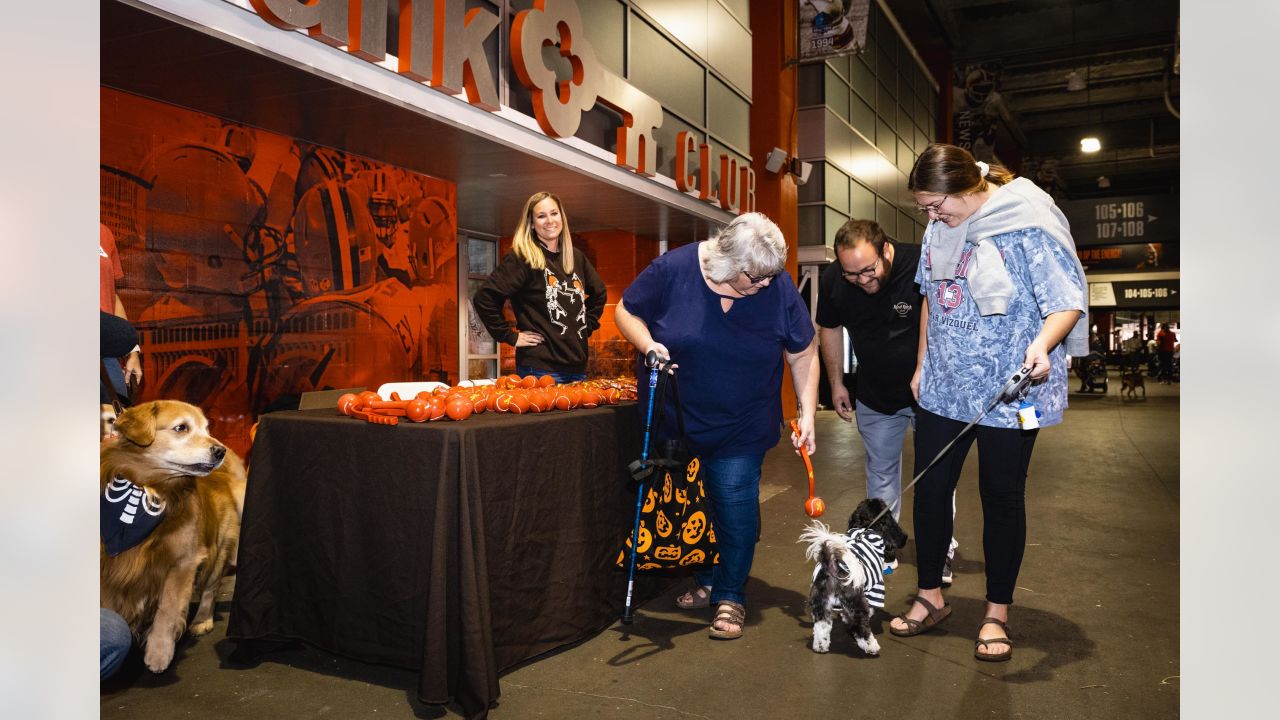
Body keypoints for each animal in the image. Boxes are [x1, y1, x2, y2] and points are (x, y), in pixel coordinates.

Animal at [798, 497, 911, 653]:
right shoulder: (875, 587)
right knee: (858, 625)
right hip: (855, 601)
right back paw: (871, 646)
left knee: (822, 626)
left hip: (821, 603)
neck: (865, 528)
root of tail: (832, 566)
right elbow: (870, 607)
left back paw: (821, 647)